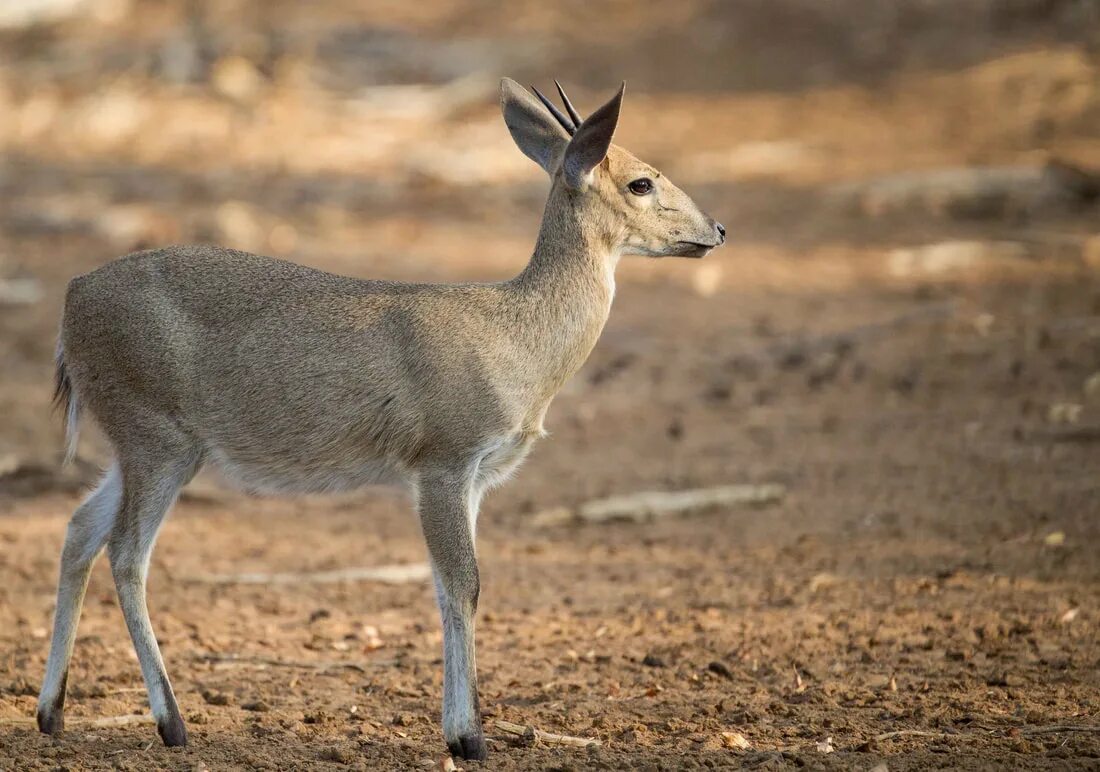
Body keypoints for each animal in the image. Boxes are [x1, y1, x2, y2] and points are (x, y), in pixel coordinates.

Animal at [36, 78, 721, 761]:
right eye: (641, 182)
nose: (716, 228)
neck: (519, 344)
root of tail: (71, 301)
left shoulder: (475, 477)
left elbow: (452, 587)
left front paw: (461, 728)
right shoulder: (444, 456)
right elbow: (464, 584)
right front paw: (469, 737)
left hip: (142, 441)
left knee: (79, 528)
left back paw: (52, 712)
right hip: (157, 433)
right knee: (126, 552)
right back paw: (170, 722)